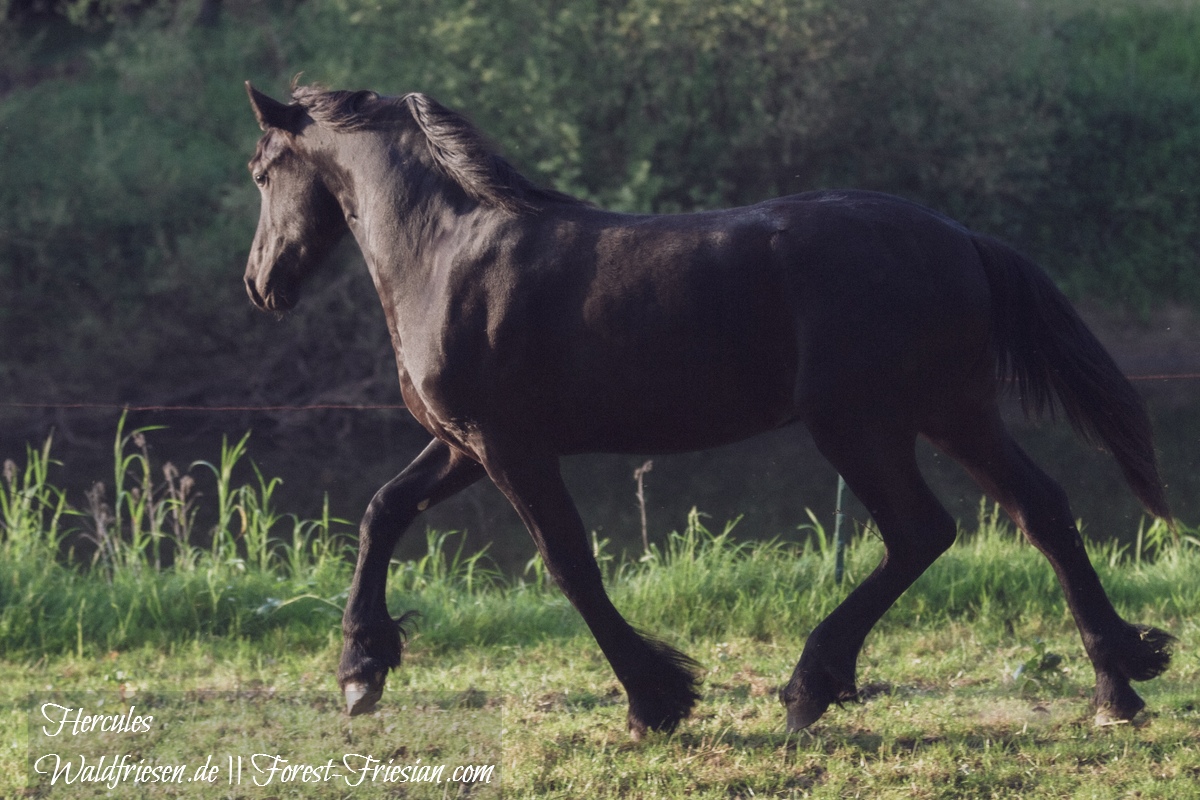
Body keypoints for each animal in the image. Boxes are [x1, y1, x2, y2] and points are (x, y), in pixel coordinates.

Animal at [241, 82, 1171, 738]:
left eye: (260, 171)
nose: (260, 284)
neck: (450, 255)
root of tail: (963, 239)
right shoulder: (463, 445)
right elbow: (382, 511)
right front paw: (361, 670)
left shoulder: (509, 448)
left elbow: (570, 564)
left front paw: (656, 700)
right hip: (953, 412)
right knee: (1037, 511)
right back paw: (1117, 684)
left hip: (862, 426)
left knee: (923, 531)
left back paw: (810, 688)